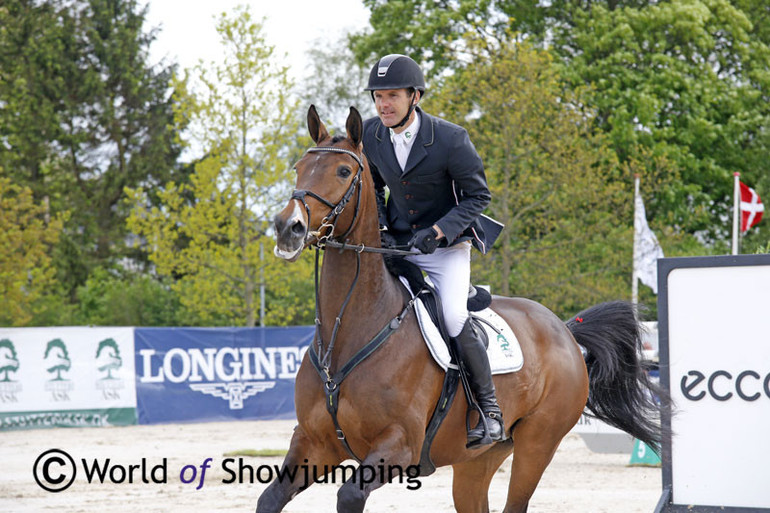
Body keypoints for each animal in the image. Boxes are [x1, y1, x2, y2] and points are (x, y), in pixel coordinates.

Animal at [262, 105, 660, 512]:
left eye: (343, 171)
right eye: (298, 167)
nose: (288, 228)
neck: (352, 329)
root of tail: (565, 330)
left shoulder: (399, 446)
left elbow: (349, 494)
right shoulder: (314, 444)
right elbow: (270, 498)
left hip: (537, 444)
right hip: (477, 460)